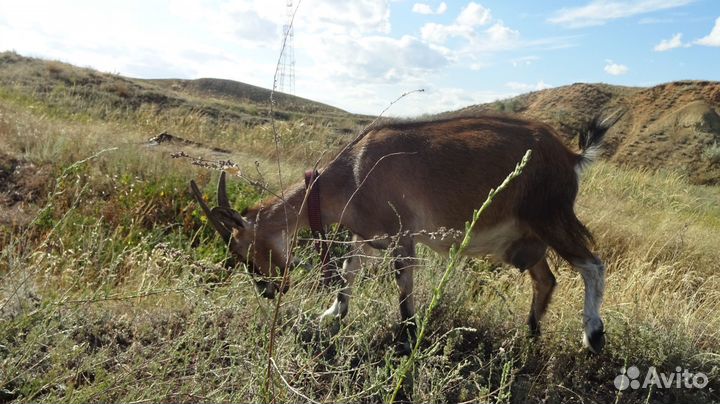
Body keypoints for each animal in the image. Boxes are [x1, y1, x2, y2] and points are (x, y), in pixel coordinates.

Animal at [190, 114, 613, 354]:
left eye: (243, 251)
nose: (268, 290)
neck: (353, 172)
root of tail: (570, 156)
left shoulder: (402, 235)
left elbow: (403, 289)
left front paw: (407, 339)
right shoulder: (365, 237)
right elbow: (349, 274)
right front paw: (331, 314)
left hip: (550, 217)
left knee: (592, 265)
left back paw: (592, 336)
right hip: (523, 240)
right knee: (546, 279)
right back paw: (531, 333)